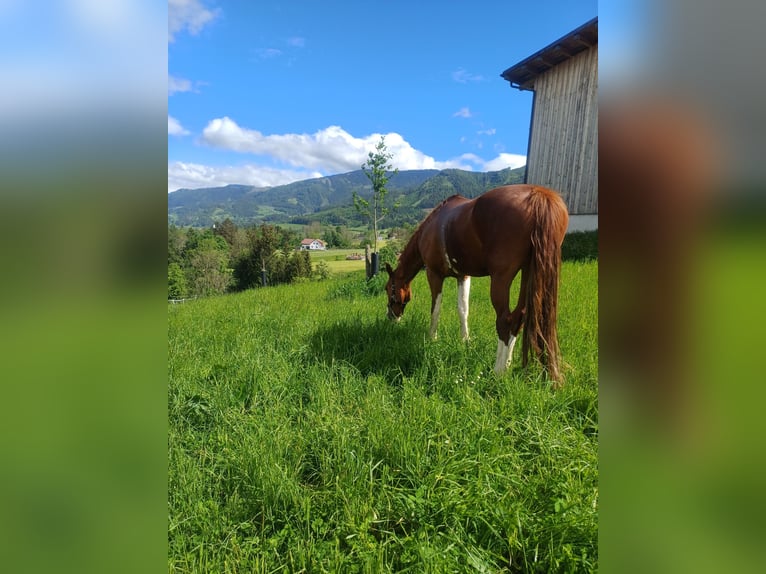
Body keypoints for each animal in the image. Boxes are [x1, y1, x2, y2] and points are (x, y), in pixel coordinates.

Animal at [384, 187, 568, 388]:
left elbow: (436, 309)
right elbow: (463, 309)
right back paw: (508, 364)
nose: (391, 317)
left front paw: (432, 338)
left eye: (388, 288)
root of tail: (538, 195)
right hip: (529, 271)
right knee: (519, 317)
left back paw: (498, 371)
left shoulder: (434, 274)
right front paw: (465, 340)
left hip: (502, 277)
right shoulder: (463, 276)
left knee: (506, 320)